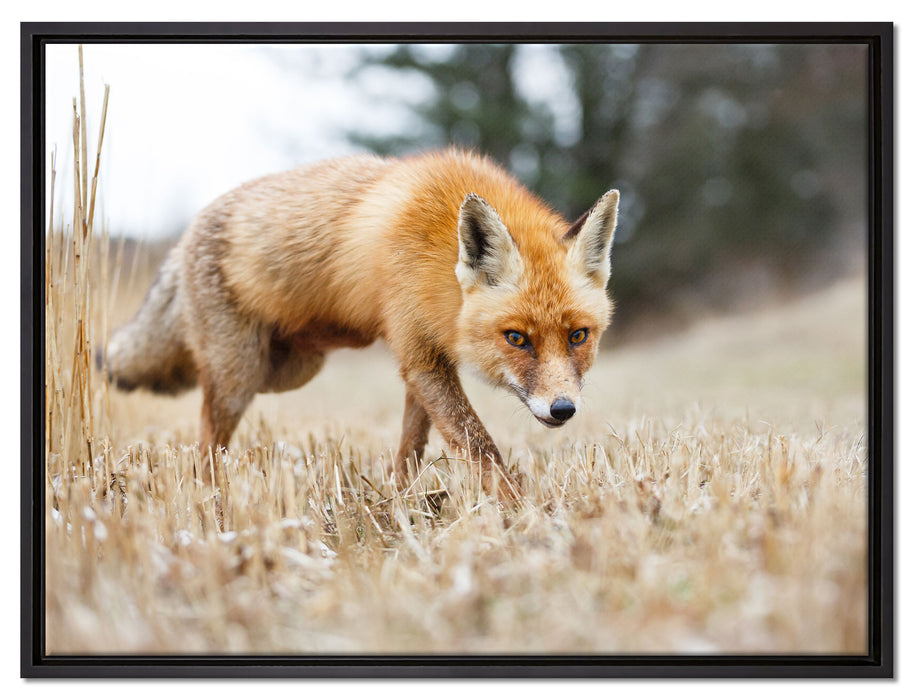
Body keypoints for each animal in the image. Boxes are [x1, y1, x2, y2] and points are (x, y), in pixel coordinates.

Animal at [104, 148, 619, 498]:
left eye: (578, 336)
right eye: (516, 338)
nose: (562, 409)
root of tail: (183, 237)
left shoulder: (425, 358)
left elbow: (413, 444)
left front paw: (403, 499)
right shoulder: (419, 355)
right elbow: (478, 445)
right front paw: (520, 512)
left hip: (287, 369)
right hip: (240, 377)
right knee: (207, 437)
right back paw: (210, 496)